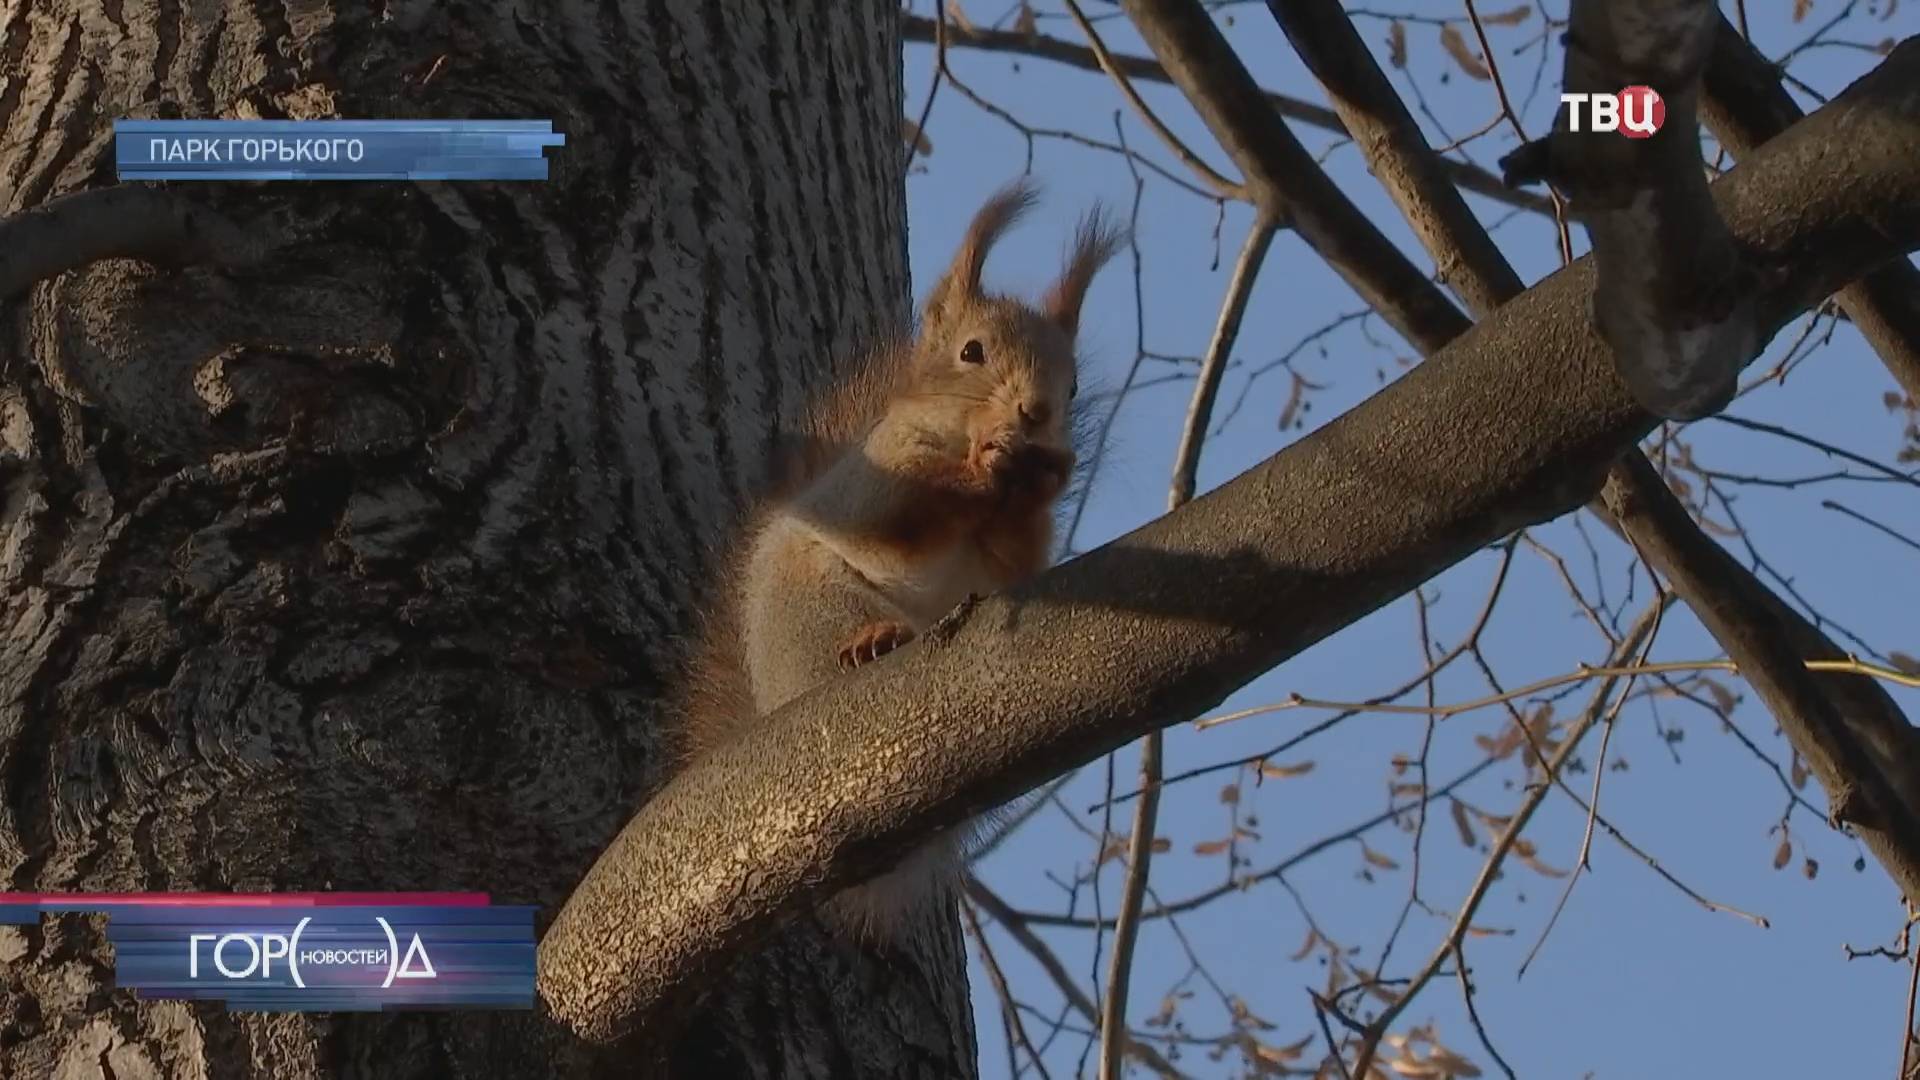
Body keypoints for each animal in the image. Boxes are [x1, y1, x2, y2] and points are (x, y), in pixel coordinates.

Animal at [675, 174, 1121, 933]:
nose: (1035, 413)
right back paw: (873, 640)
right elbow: (897, 522)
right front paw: (981, 468)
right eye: (971, 352)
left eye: (1073, 386)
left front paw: (1039, 480)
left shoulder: (1012, 552)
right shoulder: (870, 480)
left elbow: (1017, 560)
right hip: (815, 609)